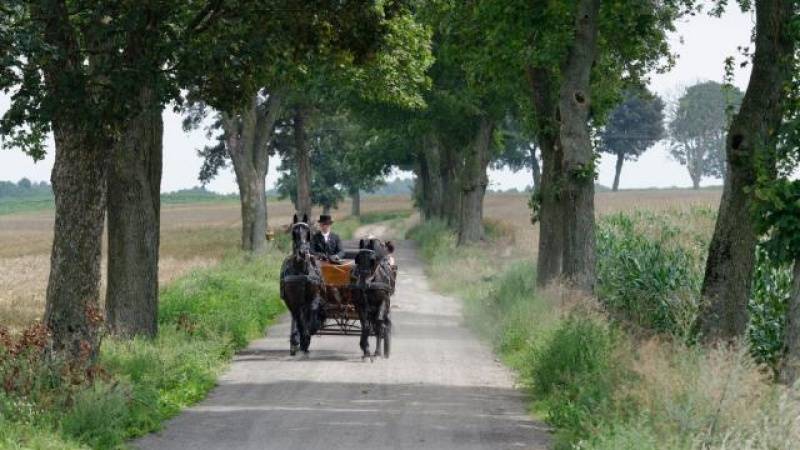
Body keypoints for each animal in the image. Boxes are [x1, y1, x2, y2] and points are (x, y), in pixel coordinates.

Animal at [282, 213, 324, 356]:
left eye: (308, 232)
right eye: (294, 232)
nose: (303, 253)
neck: (302, 272)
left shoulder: (314, 296)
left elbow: (313, 311)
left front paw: (311, 330)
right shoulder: (294, 301)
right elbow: (299, 320)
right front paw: (302, 339)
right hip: (289, 301)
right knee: (295, 317)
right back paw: (295, 340)